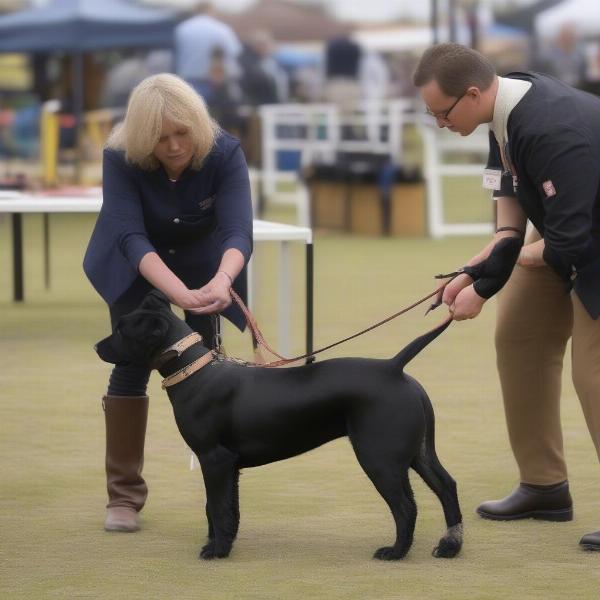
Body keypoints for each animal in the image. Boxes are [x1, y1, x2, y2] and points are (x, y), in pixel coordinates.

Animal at [96, 292, 464, 564]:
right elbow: (226, 509)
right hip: (419, 452)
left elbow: (216, 506)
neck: (193, 372)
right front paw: (223, 543)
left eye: (123, 331)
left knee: (405, 506)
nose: (97, 347)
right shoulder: (228, 466)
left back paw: (396, 552)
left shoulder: (214, 459)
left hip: (380, 458)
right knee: (447, 487)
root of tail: (393, 368)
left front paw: (216, 551)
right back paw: (450, 546)